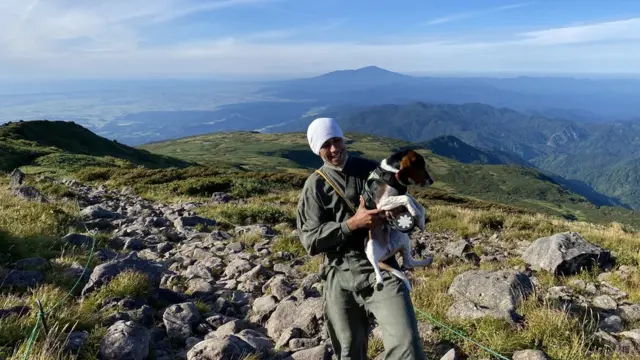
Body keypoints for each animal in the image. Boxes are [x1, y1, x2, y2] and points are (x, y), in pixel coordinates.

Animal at [360, 149, 436, 292]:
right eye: (421, 166)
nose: (431, 181)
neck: (390, 172)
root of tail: (387, 251)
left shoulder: (404, 194)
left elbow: (418, 204)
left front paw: (421, 221)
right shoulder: (382, 202)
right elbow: (407, 199)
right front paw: (414, 212)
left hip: (404, 240)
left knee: (408, 262)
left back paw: (426, 261)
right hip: (370, 246)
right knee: (376, 267)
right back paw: (379, 282)